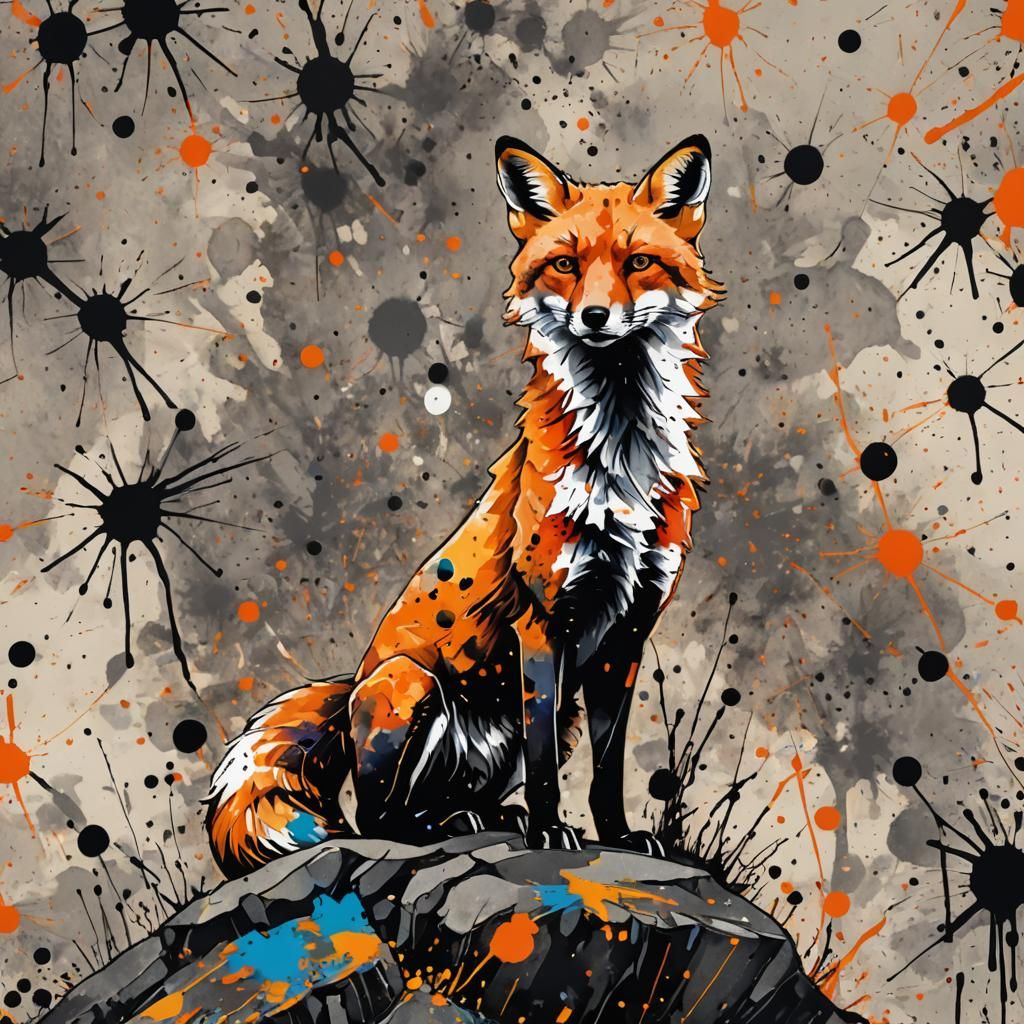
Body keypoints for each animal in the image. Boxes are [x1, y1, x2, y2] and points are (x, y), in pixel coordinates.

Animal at [206, 135, 725, 878]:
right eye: (565, 265)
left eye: (638, 262)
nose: (595, 318)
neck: (618, 463)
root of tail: (351, 682)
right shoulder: (542, 625)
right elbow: (546, 770)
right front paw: (550, 833)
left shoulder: (625, 635)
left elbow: (607, 772)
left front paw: (621, 838)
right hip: (411, 686)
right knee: (381, 820)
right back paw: (455, 826)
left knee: (448, 802)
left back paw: (484, 816)